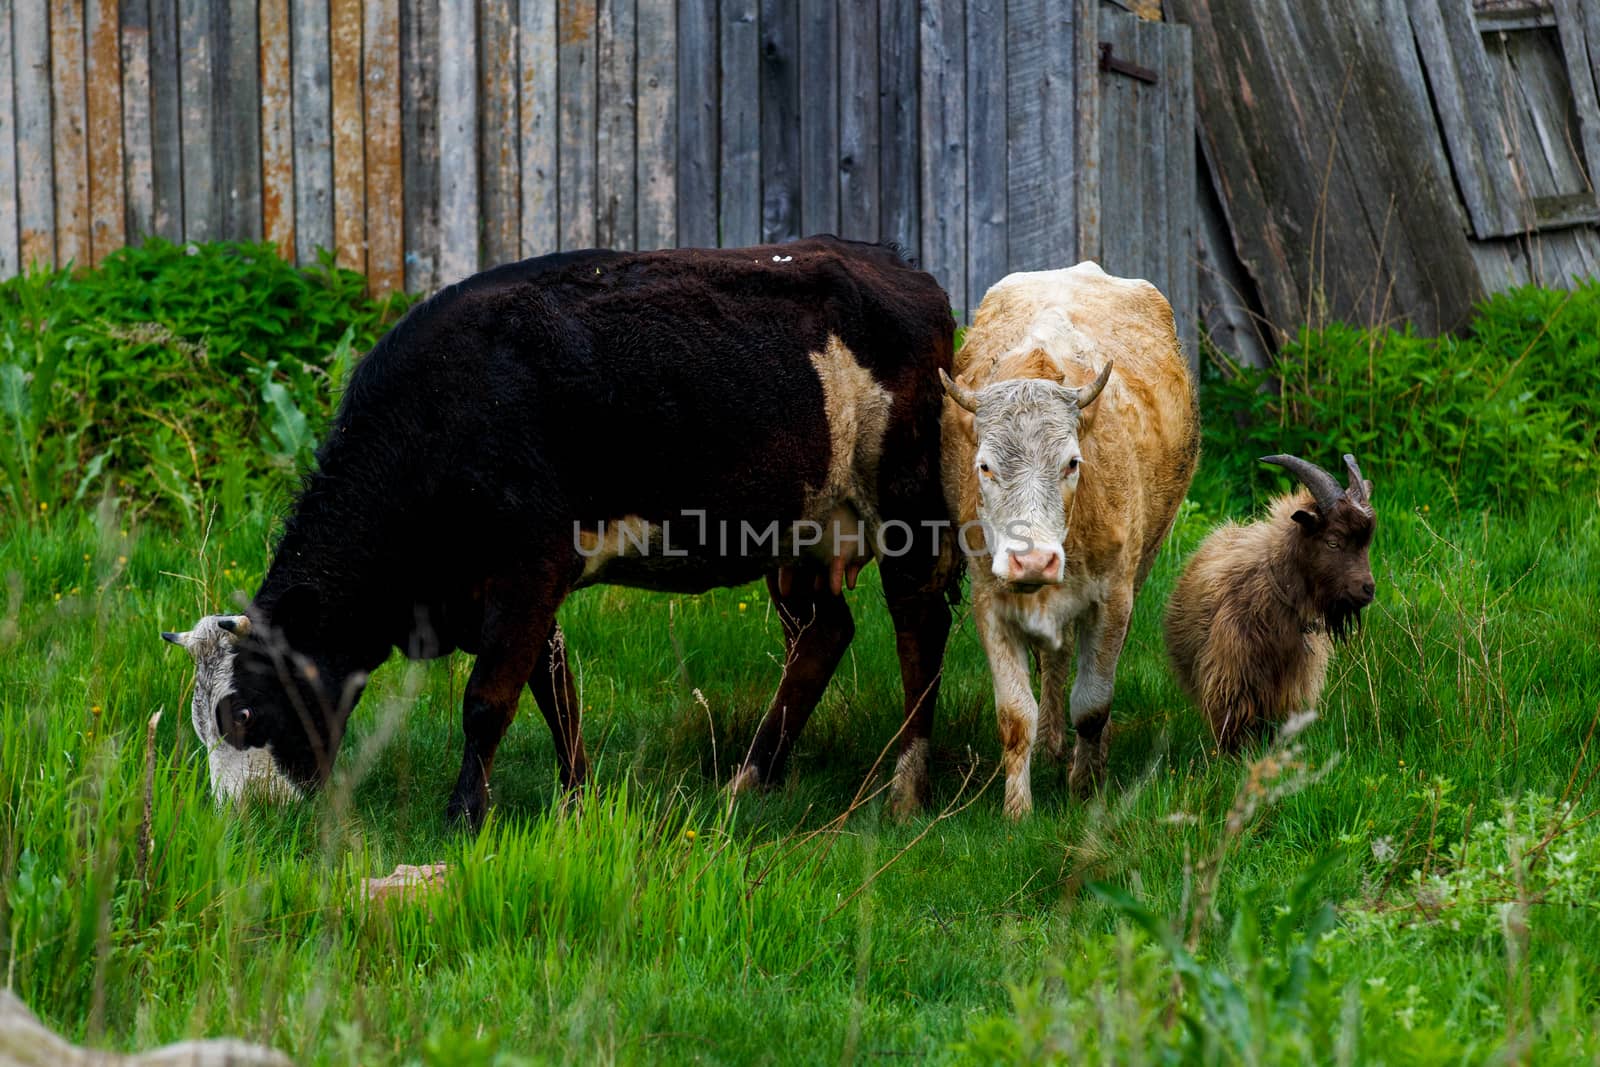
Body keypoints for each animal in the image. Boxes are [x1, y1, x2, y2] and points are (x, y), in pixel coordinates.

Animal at [178, 239, 960, 825]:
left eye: (240, 713)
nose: (237, 821)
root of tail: (898, 267)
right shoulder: (515, 586)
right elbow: (555, 691)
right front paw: (576, 802)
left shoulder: (529, 568)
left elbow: (487, 702)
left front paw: (464, 816)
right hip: (799, 532)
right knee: (823, 635)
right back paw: (750, 779)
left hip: (906, 508)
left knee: (918, 629)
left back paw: (905, 788)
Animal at [940, 265, 1196, 819]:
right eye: (984, 466)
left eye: (1072, 462)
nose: (1032, 560)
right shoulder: (989, 601)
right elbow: (1016, 715)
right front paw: (1017, 811)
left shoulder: (1113, 599)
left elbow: (1094, 704)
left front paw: (1086, 788)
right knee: (1054, 664)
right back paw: (1051, 744)